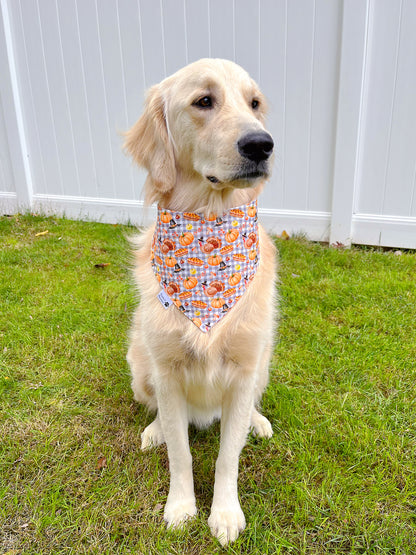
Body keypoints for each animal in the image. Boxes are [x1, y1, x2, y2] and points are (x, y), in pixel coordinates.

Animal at [125, 58, 278, 544]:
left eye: (255, 103)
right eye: (204, 101)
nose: (261, 145)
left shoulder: (244, 369)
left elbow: (228, 456)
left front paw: (225, 514)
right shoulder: (169, 373)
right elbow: (181, 453)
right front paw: (180, 507)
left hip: (263, 363)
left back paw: (257, 421)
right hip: (141, 364)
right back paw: (154, 430)